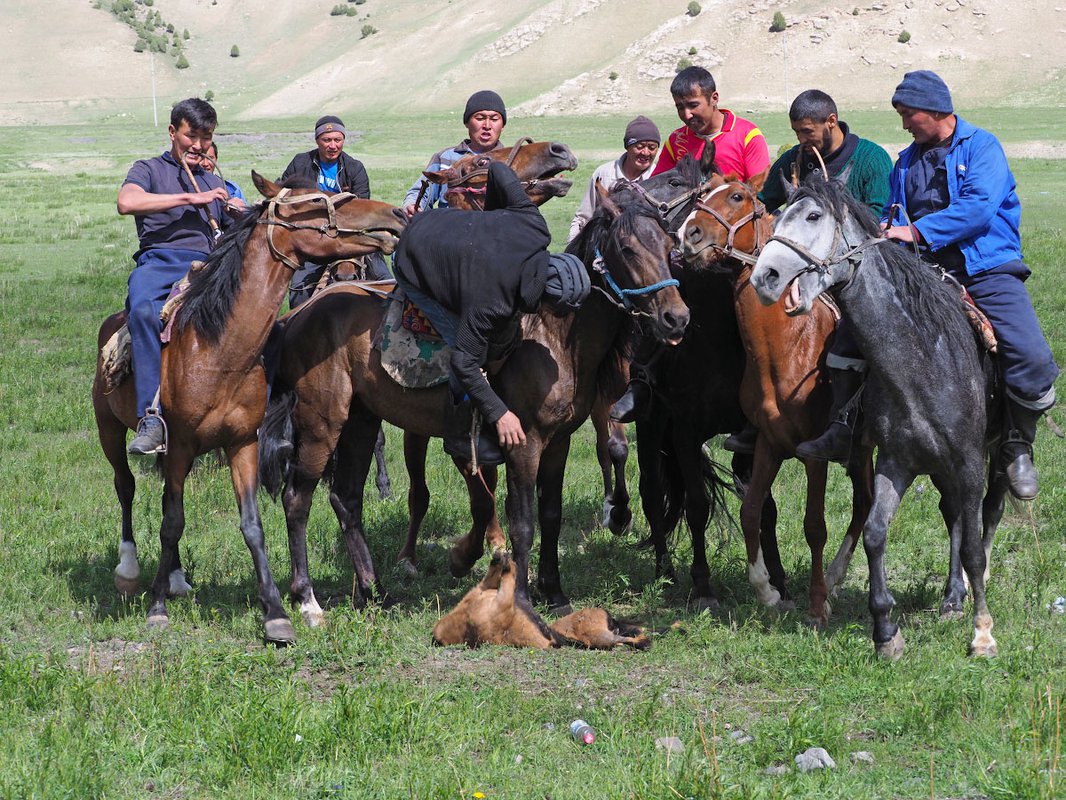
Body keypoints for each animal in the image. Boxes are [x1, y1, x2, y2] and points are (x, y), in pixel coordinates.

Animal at [91, 174, 405, 644]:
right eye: (315, 202)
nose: (395, 214)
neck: (218, 351)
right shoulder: (179, 445)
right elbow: (171, 522)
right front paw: (157, 608)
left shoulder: (241, 445)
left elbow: (251, 526)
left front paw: (276, 613)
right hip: (110, 430)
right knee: (125, 487)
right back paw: (130, 570)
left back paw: (178, 578)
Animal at [261, 184, 686, 622]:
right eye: (627, 248)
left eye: (671, 244)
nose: (677, 317)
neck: (552, 334)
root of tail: (297, 315)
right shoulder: (525, 444)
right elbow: (522, 523)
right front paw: (522, 600)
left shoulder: (558, 442)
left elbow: (550, 515)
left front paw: (555, 592)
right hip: (321, 425)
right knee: (298, 500)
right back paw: (307, 600)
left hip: (360, 422)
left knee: (346, 499)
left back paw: (373, 590)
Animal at [677, 173, 869, 627]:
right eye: (700, 196)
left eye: (736, 196)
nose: (688, 234)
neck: (787, 346)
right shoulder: (767, 444)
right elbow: (751, 510)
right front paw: (767, 590)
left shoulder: (815, 456)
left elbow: (814, 525)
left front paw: (817, 604)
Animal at [750, 173, 1006, 657]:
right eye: (778, 215)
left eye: (813, 216)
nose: (764, 277)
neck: (924, 361)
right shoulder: (896, 462)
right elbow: (874, 532)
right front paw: (885, 629)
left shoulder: (967, 462)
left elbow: (974, 548)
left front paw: (983, 633)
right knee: (953, 516)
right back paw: (951, 597)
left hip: (992, 456)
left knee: (986, 515)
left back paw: (964, 591)